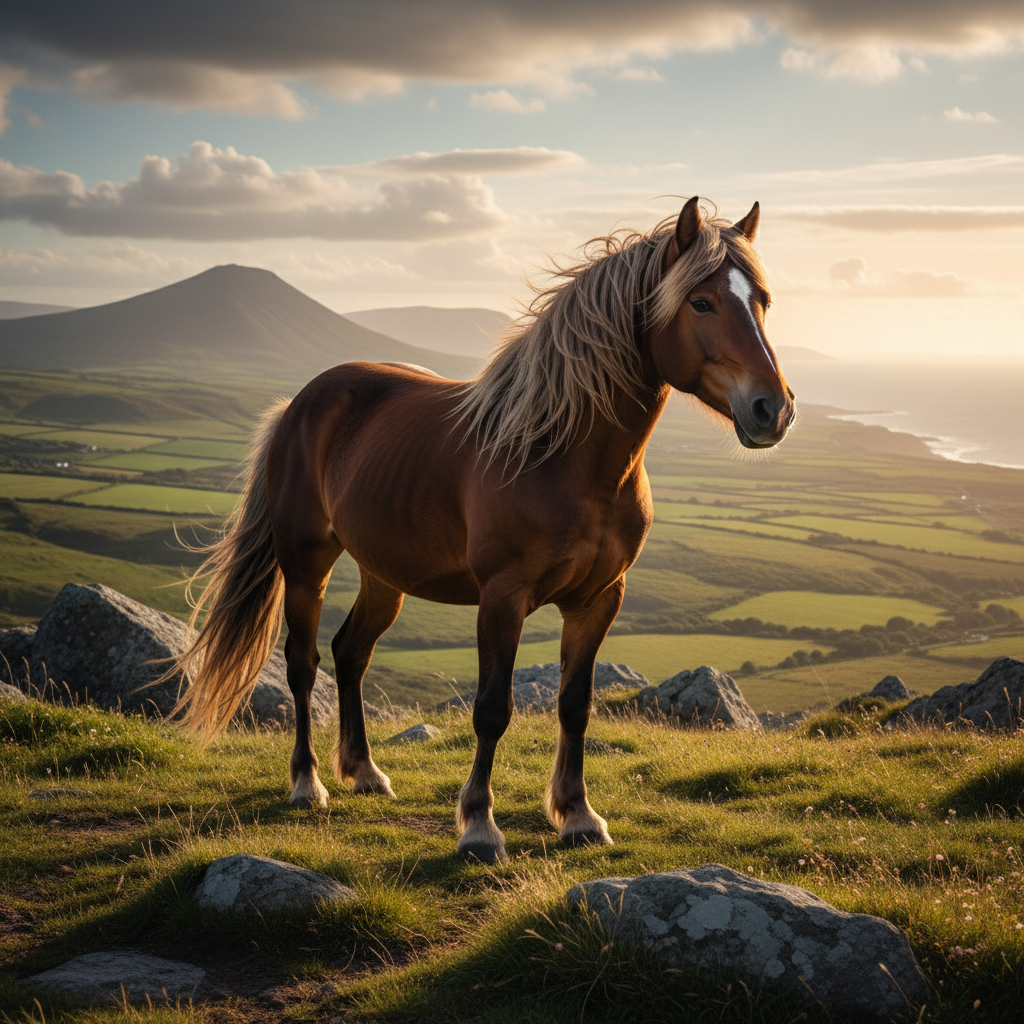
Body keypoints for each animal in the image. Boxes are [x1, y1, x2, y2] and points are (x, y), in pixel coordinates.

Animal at [169, 196, 795, 864]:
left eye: (762, 301)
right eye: (700, 302)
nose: (773, 409)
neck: (563, 456)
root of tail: (300, 402)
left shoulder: (600, 599)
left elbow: (576, 706)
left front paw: (578, 815)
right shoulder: (502, 596)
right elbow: (493, 709)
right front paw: (478, 826)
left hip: (383, 573)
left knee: (351, 652)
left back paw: (365, 772)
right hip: (306, 563)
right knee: (303, 662)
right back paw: (308, 784)